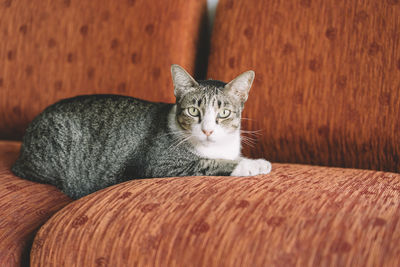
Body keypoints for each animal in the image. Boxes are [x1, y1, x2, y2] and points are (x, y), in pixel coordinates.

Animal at [13, 64, 276, 199]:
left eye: (224, 113)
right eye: (193, 111)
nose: (208, 130)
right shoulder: (161, 165)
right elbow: (212, 163)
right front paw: (254, 164)